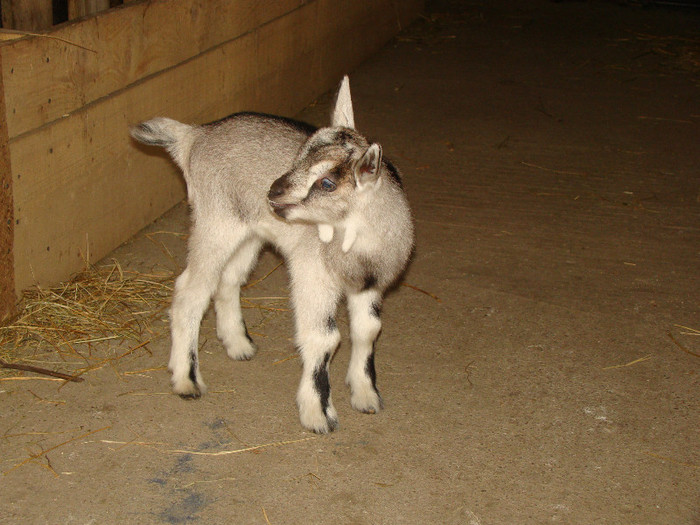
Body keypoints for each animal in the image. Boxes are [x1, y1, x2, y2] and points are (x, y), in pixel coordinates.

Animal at [131, 75, 412, 432]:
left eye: (327, 183)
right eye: (298, 157)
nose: (274, 191)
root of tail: (195, 136)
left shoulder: (369, 283)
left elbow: (368, 330)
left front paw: (366, 395)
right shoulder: (313, 275)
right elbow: (324, 338)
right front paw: (318, 414)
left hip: (248, 231)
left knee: (229, 279)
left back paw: (238, 344)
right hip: (215, 221)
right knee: (191, 290)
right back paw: (186, 380)